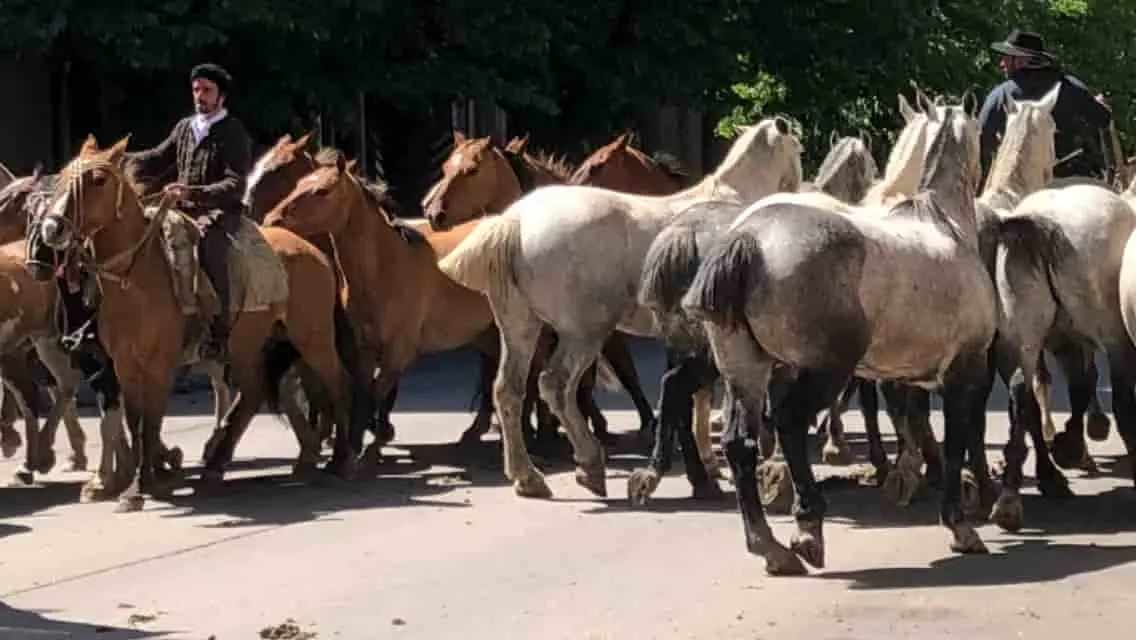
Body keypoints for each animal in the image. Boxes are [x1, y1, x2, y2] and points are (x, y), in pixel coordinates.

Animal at [31, 134, 361, 511]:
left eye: (98, 180)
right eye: (63, 177)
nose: (53, 228)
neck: (136, 279)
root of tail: (313, 250)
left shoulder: (159, 365)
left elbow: (150, 421)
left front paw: (141, 485)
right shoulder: (124, 364)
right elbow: (135, 419)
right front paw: (142, 483)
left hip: (313, 338)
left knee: (337, 383)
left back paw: (342, 461)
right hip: (250, 345)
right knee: (253, 394)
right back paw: (217, 467)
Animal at [631, 135, 886, 506]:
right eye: (869, 163)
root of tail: (682, 235)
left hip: (691, 345)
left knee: (675, 390)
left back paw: (677, 475)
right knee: (679, 391)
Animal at [681, 101, 995, 575]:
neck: (946, 228)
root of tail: (749, 237)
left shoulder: (908, 377)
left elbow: (913, 423)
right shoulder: (964, 372)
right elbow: (956, 440)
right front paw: (960, 526)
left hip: (746, 372)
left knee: (740, 444)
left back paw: (770, 546)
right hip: (823, 372)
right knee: (789, 424)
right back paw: (808, 529)